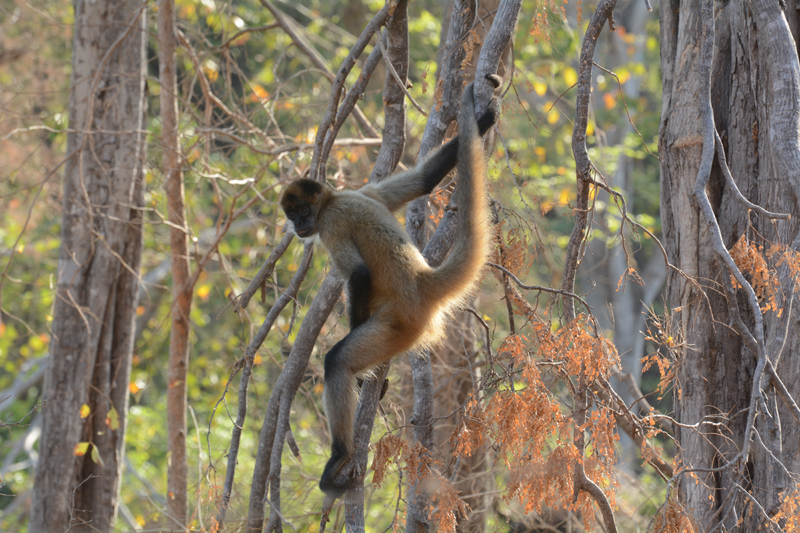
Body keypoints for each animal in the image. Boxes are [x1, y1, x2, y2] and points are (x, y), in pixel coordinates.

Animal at [278, 74, 496, 494]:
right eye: (292, 215)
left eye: (303, 212)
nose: (298, 227)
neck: (334, 199)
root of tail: (423, 283)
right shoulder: (368, 191)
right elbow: (423, 181)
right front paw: (482, 120)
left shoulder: (331, 223)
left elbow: (360, 275)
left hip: (397, 325)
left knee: (337, 360)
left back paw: (339, 456)